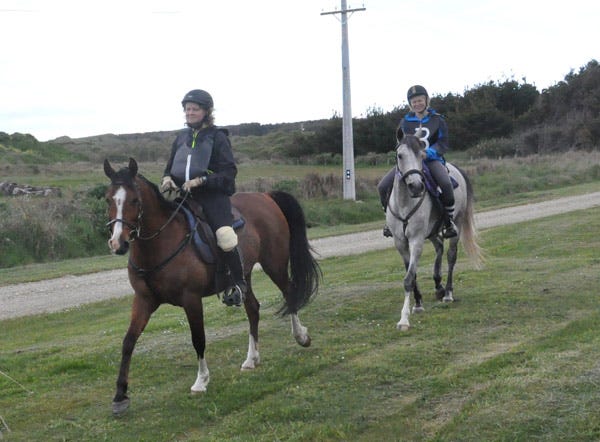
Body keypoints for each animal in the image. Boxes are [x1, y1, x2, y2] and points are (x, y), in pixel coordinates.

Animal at [103, 159, 322, 414]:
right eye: (108, 199)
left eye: (135, 200)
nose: (118, 243)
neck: (161, 242)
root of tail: (265, 196)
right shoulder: (144, 300)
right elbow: (128, 342)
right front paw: (120, 395)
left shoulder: (191, 299)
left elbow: (198, 338)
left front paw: (201, 380)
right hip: (244, 276)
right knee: (253, 309)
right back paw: (251, 358)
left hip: (274, 264)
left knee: (289, 293)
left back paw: (301, 336)